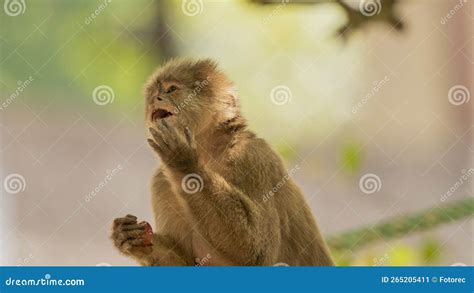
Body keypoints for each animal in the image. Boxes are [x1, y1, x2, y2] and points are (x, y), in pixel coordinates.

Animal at [110, 58, 334, 266]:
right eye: (151, 96)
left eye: (171, 89)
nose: (155, 99)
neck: (209, 153)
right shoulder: (161, 182)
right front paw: (130, 238)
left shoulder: (251, 156)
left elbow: (256, 253)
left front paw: (183, 162)